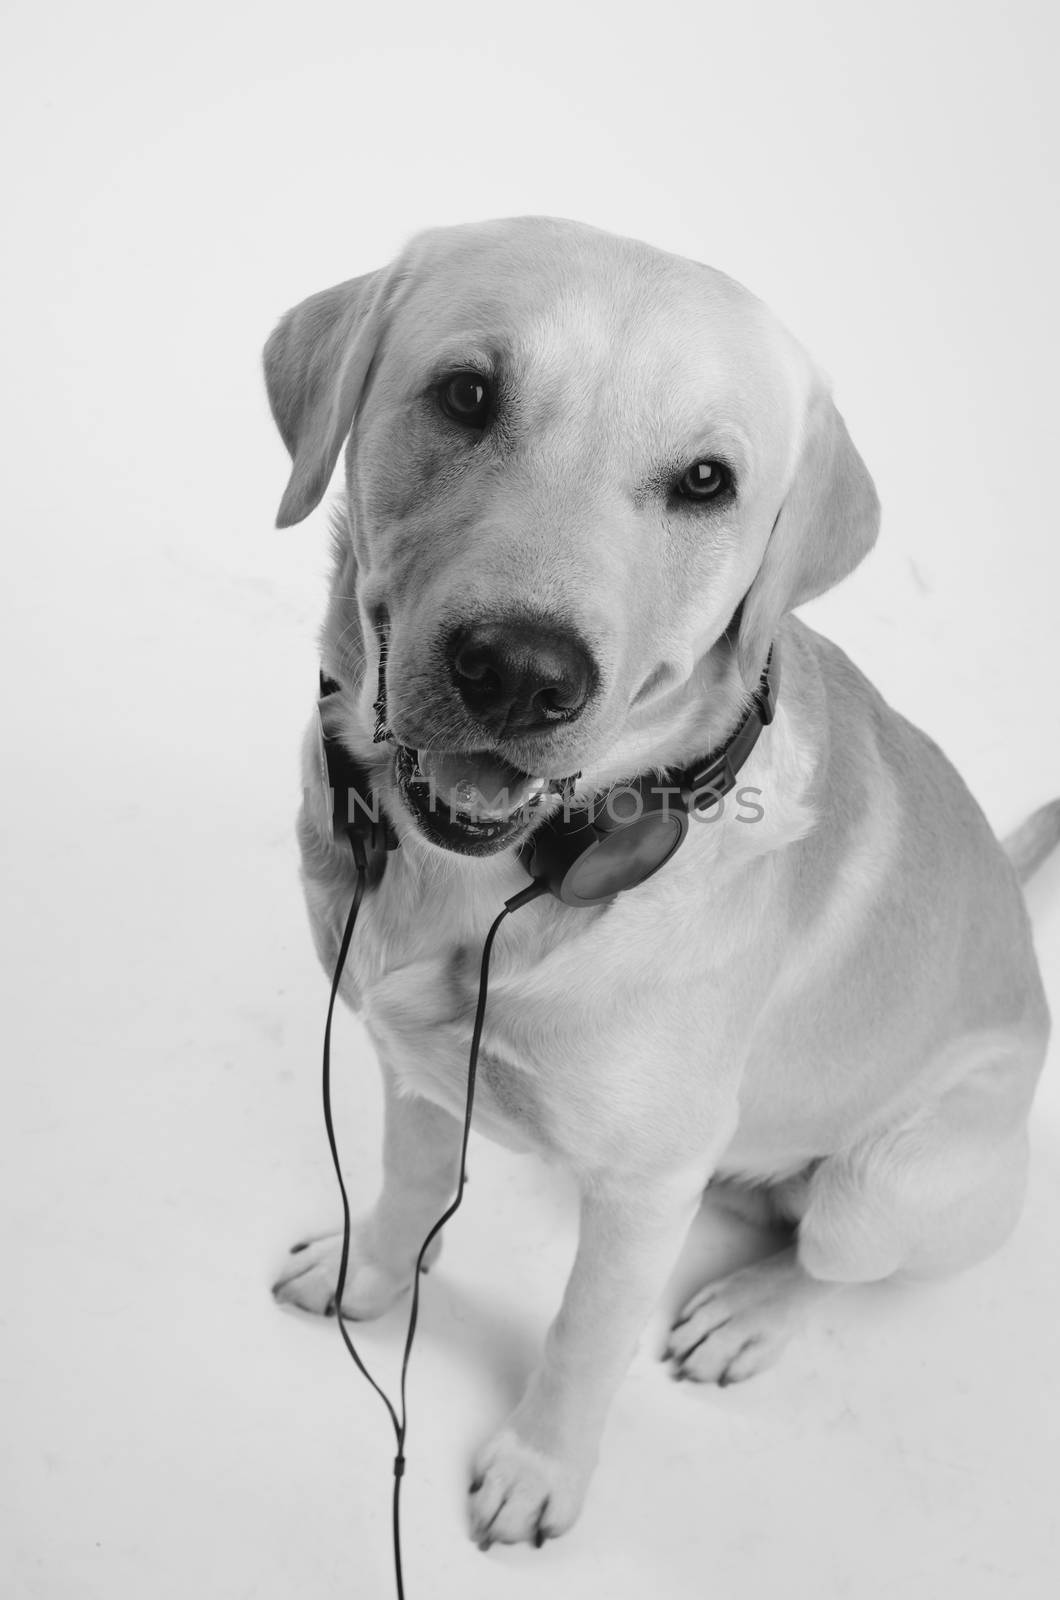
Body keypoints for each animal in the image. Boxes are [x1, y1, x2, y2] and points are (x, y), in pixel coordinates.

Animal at [264, 212, 1056, 1548]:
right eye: (466, 394)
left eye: (704, 483)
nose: (519, 672)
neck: (518, 880)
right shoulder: (407, 1064)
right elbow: (409, 1184)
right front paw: (371, 1273)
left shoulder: (644, 1191)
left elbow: (585, 1332)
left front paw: (538, 1467)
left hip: (884, 1186)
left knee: (837, 1261)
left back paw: (751, 1309)